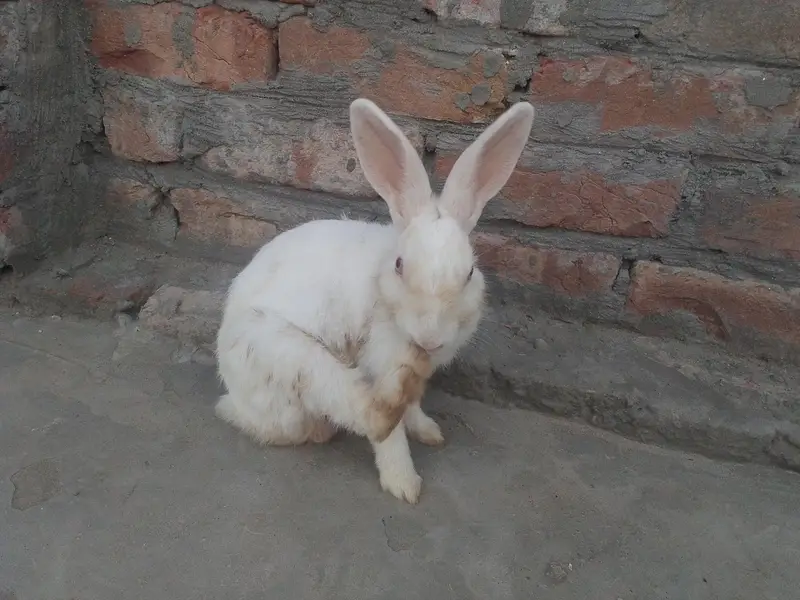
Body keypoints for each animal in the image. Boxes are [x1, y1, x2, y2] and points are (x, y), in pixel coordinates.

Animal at [215, 98, 535, 503]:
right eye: (400, 266)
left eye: (469, 273)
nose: (429, 338)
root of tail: (234, 398)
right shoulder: (383, 359)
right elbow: (392, 435)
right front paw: (404, 484)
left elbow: (412, 406)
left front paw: (428, 431)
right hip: (289, 358)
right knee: (358, 412)